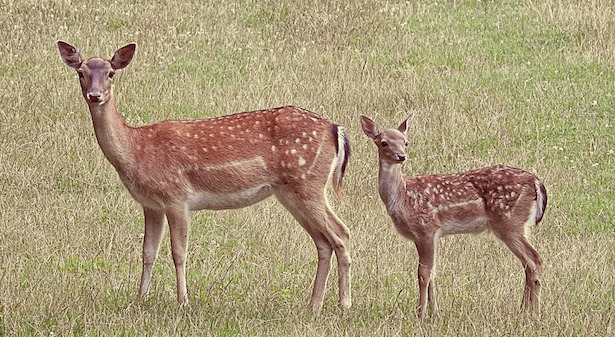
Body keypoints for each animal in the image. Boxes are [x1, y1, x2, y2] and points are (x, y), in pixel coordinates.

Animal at [59, 41, 354, 310]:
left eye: (111, 73)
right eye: (81, 72)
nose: (95, 95)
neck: (137, 149)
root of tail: (336, 130)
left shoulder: (176, 196)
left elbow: (178, 252)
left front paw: (183, 302)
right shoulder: (150, 204)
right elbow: (147, 252)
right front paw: (140, 299)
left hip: (309, 182)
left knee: (341, 233)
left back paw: (344, 304)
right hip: (291, 191)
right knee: (323, 242)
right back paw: (313, 305)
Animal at [360, 114, 548, 318]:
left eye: (406, 142)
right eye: (384, 143)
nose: (401, 156)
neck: (402, 195)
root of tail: (535, 181)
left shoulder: (426, 228)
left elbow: (423, 274)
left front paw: (421, 314)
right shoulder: (424, 236)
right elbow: (432, 272)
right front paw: (435, 312)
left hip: (509, 221)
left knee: (534, 260)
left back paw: (534, 313)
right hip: (518, 224)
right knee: (527, 264)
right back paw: (523, 310)